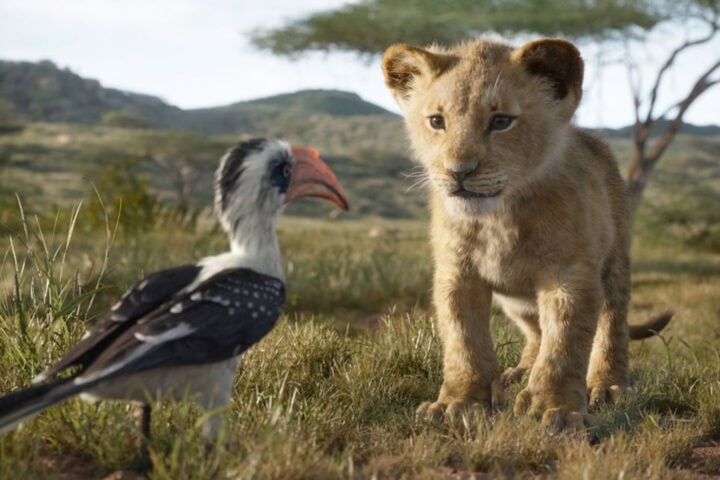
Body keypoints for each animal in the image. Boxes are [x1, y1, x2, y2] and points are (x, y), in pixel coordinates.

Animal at [382, 38, 671, 430]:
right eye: (437, 122)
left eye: (501, 121)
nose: (459, 172)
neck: (499, 217)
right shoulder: (457, 274)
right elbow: (463, 340)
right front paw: (459, 403)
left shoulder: (569, 275)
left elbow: (564, 344)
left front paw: (557, 409)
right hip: (515, 300)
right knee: (535, 331)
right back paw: (518, 373)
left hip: (615, 263)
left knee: (612, 324)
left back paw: (608, 385)